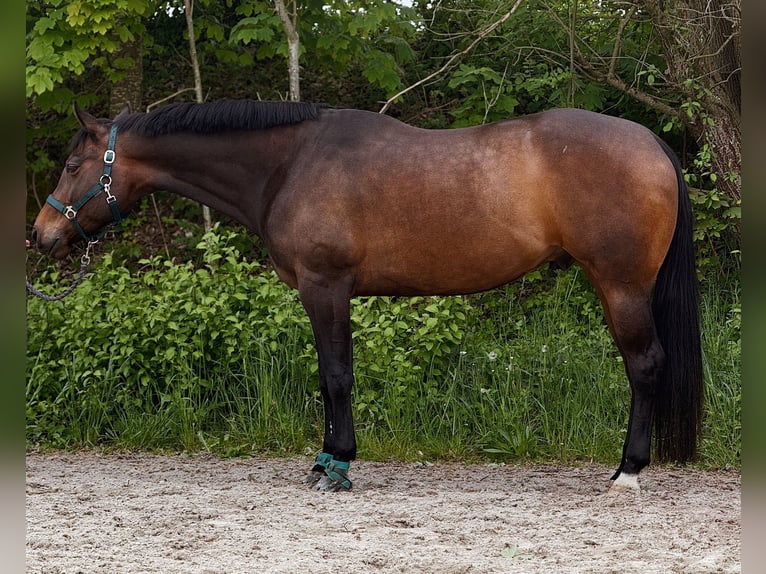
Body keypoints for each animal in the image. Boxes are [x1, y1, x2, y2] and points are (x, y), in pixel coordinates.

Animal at [30, 99, 703, 492]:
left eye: (72, 164)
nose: (42, 235)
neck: (291, 163)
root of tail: (650, 142)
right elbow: (332, 375)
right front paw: (326, 460)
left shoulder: (325, 286)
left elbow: (336, 376)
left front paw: (336, 466)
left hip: (620, 286)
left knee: (645, 367)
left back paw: (626, 474)